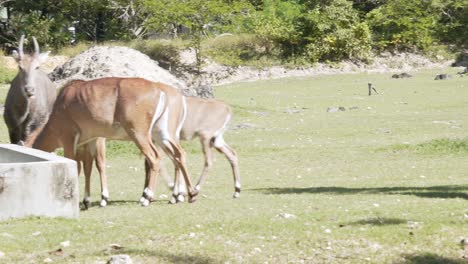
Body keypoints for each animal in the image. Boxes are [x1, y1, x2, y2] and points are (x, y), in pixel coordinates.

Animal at [24, 77, 198, 206]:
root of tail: (159, 90)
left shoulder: (71, 139)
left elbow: (79, 166)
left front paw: (96, 199)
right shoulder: (90, 140)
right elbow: (88, 167)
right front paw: (87, 200)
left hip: (139, 133)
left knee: (155, 158)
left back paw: (147, 198)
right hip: (161, 133)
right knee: (178, 155)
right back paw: (189, 194)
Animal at [76, 96, 241, 207]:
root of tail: (227, 108)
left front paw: (167, 193)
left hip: (205, 138)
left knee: (207, 160)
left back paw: (195, 189)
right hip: (216, 140)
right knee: (232, 155)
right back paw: (236, 190)